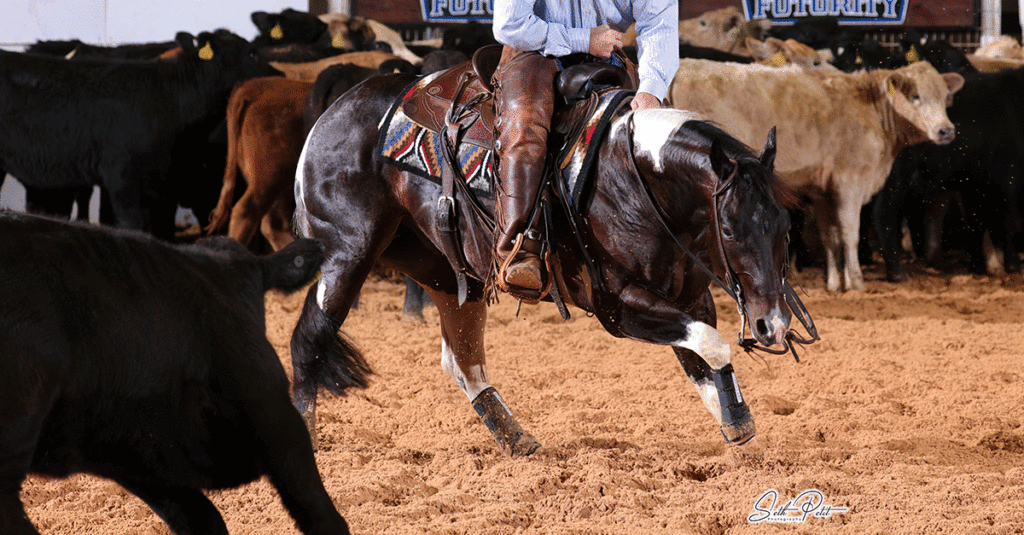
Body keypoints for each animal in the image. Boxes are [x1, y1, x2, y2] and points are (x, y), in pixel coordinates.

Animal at [290, 68, 815, 455]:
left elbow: (703, 358)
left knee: (462, 360)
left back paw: (517, 438)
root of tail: (333, 111)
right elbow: (712, 344)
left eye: (786, 230)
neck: (636, 181)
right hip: (346, 252)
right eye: (729, 231)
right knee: (308, 339)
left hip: (446, 272)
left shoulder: (691, 298)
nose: (772, 325)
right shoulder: (618, 308)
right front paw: (739, 420)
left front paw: (738, 431)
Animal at [667, 59, 962, 291]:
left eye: (944, 96)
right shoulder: (849, 181)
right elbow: (850, 232)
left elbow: (829, 235)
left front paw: (834, 283)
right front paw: (856, 282)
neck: (869, 108)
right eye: (916, 96)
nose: (946, 130)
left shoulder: (823, 191)